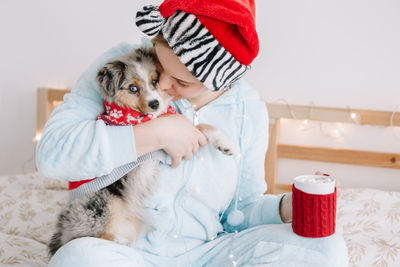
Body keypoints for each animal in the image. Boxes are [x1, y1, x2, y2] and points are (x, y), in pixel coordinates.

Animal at [47, 46, 236, 258]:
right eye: (133, 88)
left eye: (155, 81)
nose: (155, 104)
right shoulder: (138, 169)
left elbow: (198, 126)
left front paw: (223, 142)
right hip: (98, 204)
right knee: (87, 238)